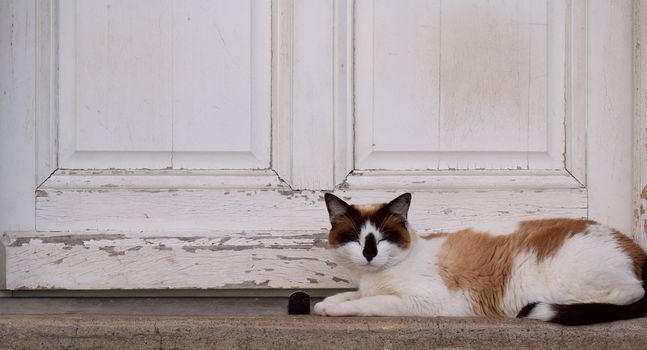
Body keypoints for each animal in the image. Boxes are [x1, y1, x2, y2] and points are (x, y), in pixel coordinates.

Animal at [316, 193, 647, 324]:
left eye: (383, 238)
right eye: (355, 239)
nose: (369, 254)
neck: (374, 277)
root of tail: (634, 247)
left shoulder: (422, 301)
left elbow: (367, 303)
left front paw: (335, 310)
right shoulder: (365, 286)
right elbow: (350, 295)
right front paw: (324, 304)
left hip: (568, 279)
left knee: (630, 294)